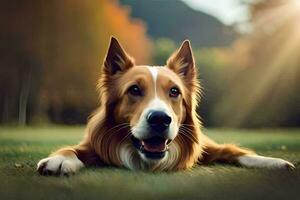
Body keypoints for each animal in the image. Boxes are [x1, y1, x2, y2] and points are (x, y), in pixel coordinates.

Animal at [36, 37, 294, 175]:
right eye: (134, 90)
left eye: (174, 92)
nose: (160, 119)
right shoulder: (93, 143)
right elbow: (71, 149)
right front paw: (60, 160)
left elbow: (234, 151)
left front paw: (274, 162)